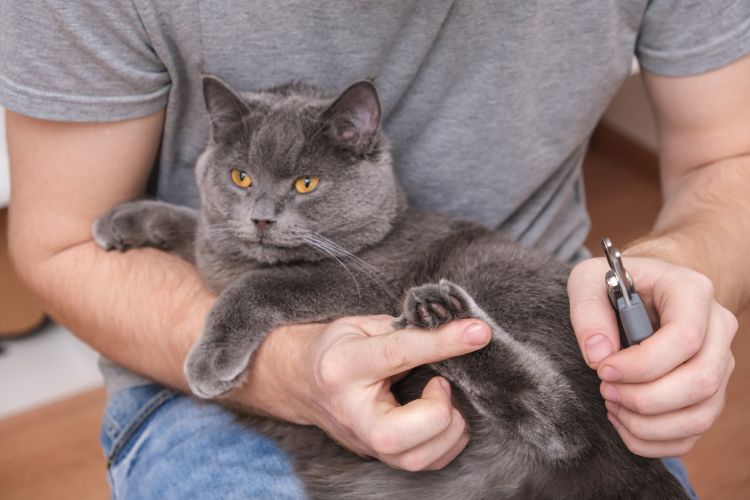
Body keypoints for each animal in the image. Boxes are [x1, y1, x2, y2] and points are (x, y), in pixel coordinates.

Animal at [92, 76, 688, 498]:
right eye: (240, 177)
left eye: (305, 183)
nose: (260, 218)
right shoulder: (216, 245)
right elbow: (194, 226)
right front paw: (123, 220)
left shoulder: (362, 281)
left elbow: (261, 285)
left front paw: (209, 361)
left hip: (502, 279)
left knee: (569, 428)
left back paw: (441, 313)